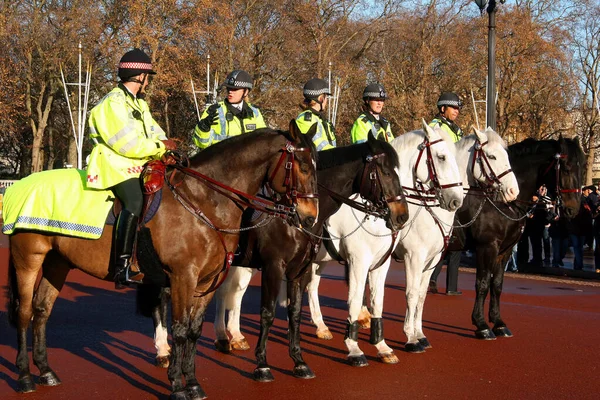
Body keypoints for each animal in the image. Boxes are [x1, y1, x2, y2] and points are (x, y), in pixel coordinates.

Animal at [5, 123, 318, 398]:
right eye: (302, 165)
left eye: (315, 165)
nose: (309, 217)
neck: (204, 202)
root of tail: (19, 186)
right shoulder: (183, 278)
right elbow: (178, 331)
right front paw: (177, 386)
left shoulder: (207, 282)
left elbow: (193, 331)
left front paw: (192, 383)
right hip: (28, 259)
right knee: (24, 312)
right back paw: (24, 377)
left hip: (58, 263)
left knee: (42, 310)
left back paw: (46, 372)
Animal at [454, 136, 584, 340]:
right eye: (566, 167)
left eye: (583, 167)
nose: (573, 209)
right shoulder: (487, 246)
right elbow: (482, 283)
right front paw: (481, 325)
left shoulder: (505, 250)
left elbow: (497, 284)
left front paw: (498, 322)